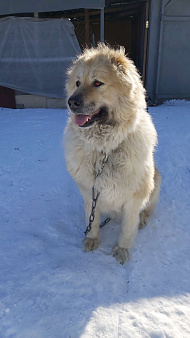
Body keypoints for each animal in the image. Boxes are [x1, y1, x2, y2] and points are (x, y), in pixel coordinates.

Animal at [63, 43, 160, 264]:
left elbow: (127, 228)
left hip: (155, 181)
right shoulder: (89, 191)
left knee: (148, 208)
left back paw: (143, 218)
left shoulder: (134, 197)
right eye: (77, 83)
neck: (105, 150)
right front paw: (91, 240)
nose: (71, 102)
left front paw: (122, 250)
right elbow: (93, 220)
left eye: (98, 83)